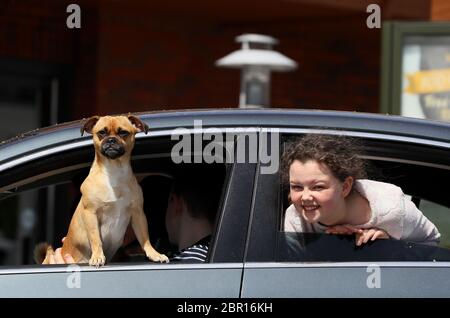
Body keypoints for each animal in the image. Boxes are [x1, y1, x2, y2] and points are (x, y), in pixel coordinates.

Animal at [34, 114, 169, 266]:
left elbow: (145, 238)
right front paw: (97, 256)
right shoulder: (91, 213)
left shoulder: (138, 213)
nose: (111, 140)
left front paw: (154, 254)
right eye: (101, 133)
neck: (114, 170)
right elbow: (95, 238)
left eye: (123, 133)